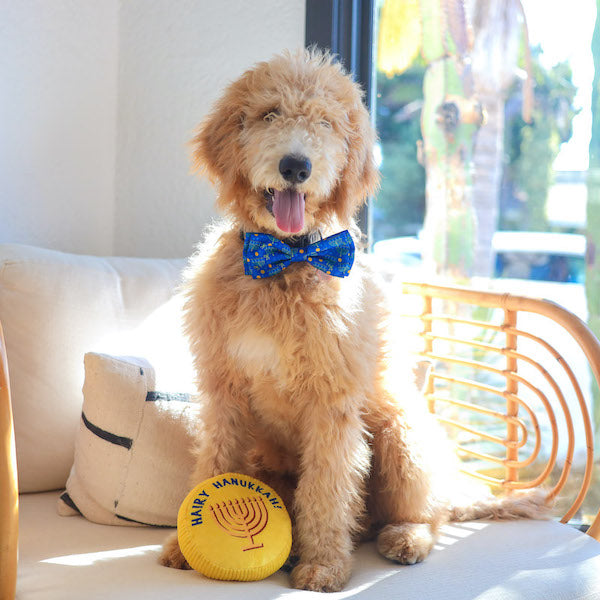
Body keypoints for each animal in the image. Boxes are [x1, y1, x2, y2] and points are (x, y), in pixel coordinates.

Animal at [161, 48, 548, 592]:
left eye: (325, 122)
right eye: (269, 114)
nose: (296, 165)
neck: (285, 264)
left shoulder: (331, 405)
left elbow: (327, 486)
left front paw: (324, 566)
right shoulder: (225, 392)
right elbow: (214, 463)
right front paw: (182, 547)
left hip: (401, 435)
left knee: (426, 513)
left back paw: (404, 538)